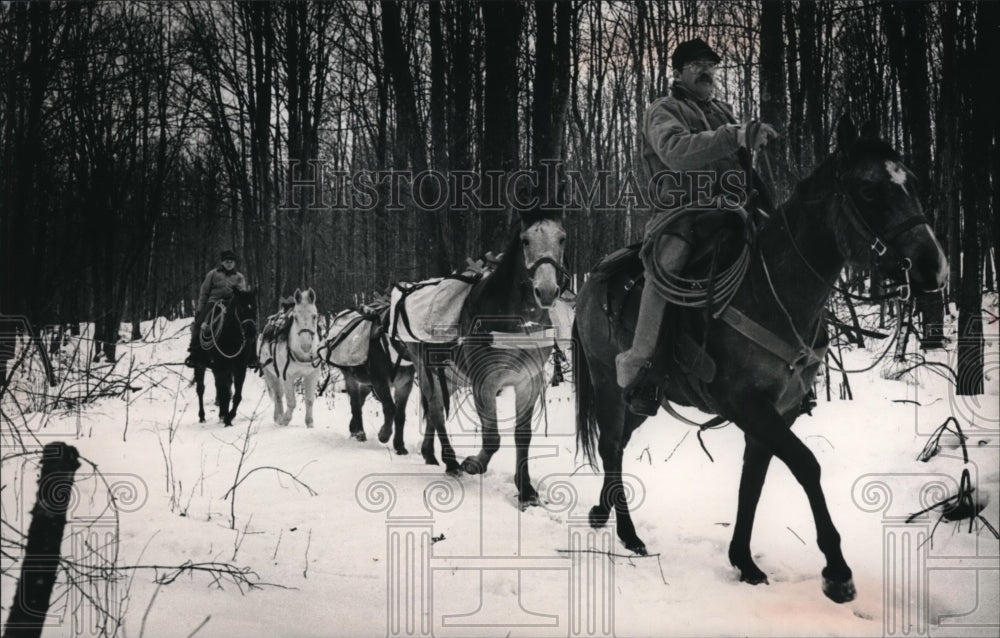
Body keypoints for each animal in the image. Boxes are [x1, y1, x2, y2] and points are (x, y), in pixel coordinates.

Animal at [193, 292, 258, 428]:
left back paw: (222, 414)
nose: (251, 332)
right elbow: (226, 393)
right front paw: (226, 418)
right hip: (200, 365)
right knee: (201, 389)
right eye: (241, 308)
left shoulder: (240, 367)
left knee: (221, 387)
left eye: (255, 307)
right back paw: (202, 416)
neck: (232, 338)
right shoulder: (221, 367)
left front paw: (229, 416)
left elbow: (236, 395)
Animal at [258, 290, 320, 430]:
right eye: (295, 318)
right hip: (270, 374)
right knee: (278, 396)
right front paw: (285, 420)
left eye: (314, 316)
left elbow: (309, 400)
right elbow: (291, 402)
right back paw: (279, 417)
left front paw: (310, 423)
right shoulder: (287, 376)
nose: (306, 346)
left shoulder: (312, 375)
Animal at [412, 208, 572, 508]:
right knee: (437, 411)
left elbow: (523, 436)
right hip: (428, 371)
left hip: (452, 377)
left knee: (433, 414)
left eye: (562, 238)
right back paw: (451, 462)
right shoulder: (485, 382)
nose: (546, 291)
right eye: (525, 240)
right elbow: (492, 438)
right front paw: (473, 464)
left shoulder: (528, 381)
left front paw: (526, 490)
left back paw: (429, 453)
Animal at [576, 116, 948, 604]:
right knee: (611, 445)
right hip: (607, 381)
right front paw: (837, 570)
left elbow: (753, 482)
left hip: (640, 400)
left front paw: (744, 561)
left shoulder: (777, 412)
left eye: (914, 183)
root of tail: (591, 278)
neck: (773, 291)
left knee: (618, 444)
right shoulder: (748, 405)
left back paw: (603, 513)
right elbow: (806, 466)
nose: (933, 268)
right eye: (869, 189)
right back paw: (629, 533)